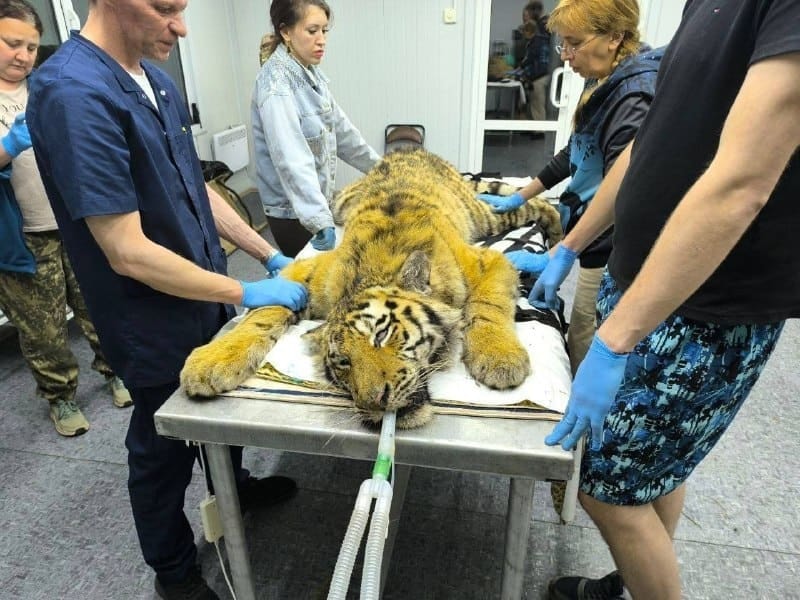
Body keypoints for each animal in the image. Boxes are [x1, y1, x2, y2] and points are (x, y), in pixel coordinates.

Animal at [180, 148, 562, 429]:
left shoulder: (488, 261)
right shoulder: (307, 271)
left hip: (486, 216)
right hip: (341, 203)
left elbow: (488, 306)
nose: (374, 401)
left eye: (382, 336)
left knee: (531, 204)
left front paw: (498, 358)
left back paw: (557, 235)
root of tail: (411, 149)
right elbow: (262, 311)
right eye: (343, 361)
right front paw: (211, 362)